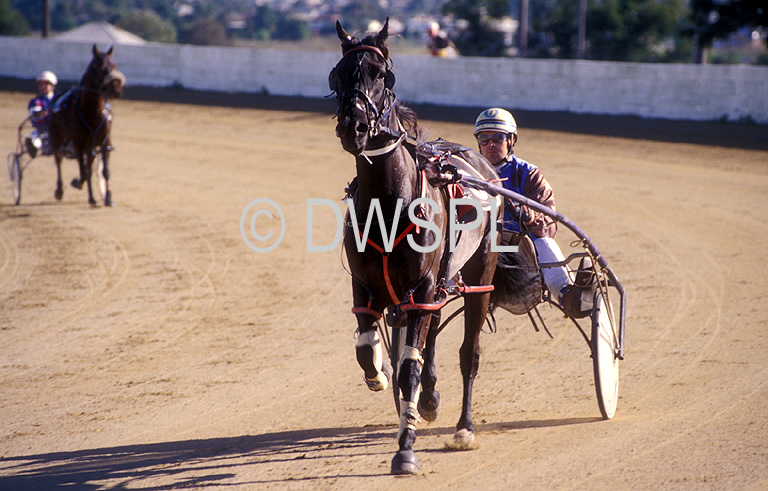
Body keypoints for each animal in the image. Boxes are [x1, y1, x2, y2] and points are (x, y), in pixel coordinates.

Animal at [48, 44, 123, 206]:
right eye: (98, 66)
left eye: (114, 66)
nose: (116, 88)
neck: (92, 114)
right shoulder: (78, 143)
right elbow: (84, 171)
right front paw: (87, 193)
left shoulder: (104, 143)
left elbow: (105, 172)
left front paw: (108, 197)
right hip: (57, 137)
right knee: (59, 159)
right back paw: (59, 190)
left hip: (90, 146)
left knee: (88, 164)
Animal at [332, 20, 500, 476]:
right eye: (337, 74)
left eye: (382, 75)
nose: (354, 127)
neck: (390, 202)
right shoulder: (365, 285)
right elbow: (367, 347)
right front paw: (379, 373)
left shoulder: (422, 286)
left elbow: (410, 364)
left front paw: (405, 449)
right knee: (430, 334)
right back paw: (428, 399)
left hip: (479, 276)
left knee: (468, 352)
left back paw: (464, 428)